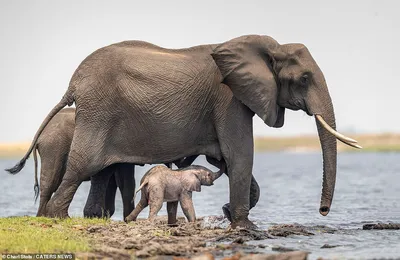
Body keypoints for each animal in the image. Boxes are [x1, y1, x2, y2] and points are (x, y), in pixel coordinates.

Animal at [7, 34, 360, 228]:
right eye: (304, 79)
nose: (323, 211)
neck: (265, 49)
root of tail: (74, 83)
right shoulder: (228, 99)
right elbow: (240, 155)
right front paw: (245, 226)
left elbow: (226, 159)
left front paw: (230, 214)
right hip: (98, 111)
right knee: (83, 165)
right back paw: (57, 219)